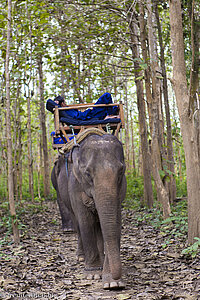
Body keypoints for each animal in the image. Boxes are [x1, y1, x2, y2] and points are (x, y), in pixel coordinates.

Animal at [51, 133, 126, 288]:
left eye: (121, 171)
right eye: (87, 174)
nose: (116, 276)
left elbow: (114, 223)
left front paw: (113, 283)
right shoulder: (75, 186)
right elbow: (85, 222)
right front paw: (93, 274)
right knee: (77, 222)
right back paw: (81, 256)